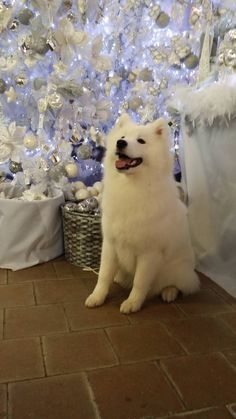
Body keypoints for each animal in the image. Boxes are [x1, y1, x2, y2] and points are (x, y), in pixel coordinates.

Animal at [85, 113, 199, 314]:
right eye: (122, 137)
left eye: (141, 141)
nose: (120, 143)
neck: (131, 188)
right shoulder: (110, 244)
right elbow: (104, 275)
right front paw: (97, 297)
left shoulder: (149, 254)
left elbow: (140, 282)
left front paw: (132, 304)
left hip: (177, 269)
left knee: (180, 285)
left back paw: (169, 292)